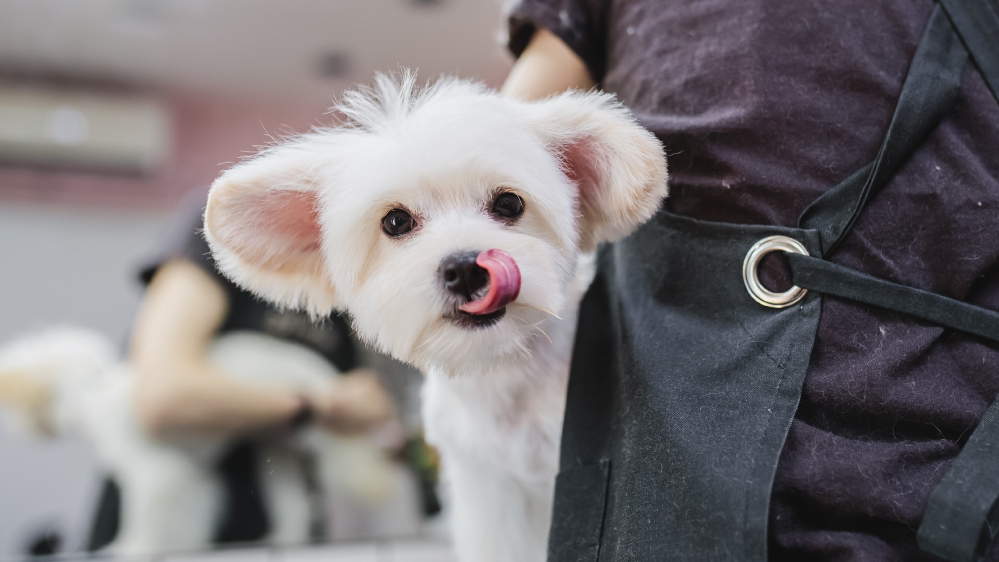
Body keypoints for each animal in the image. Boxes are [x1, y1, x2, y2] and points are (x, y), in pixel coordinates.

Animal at [0, 326, 398, 552]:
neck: (91, 393)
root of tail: (317, 371)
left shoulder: (154, 473)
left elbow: (142, 520)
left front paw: (130, 546)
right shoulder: (191, 476)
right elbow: (190, 514)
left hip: (328, 434)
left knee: (362, 470)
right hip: (276, 446)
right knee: (296, 506)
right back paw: (284, 538)